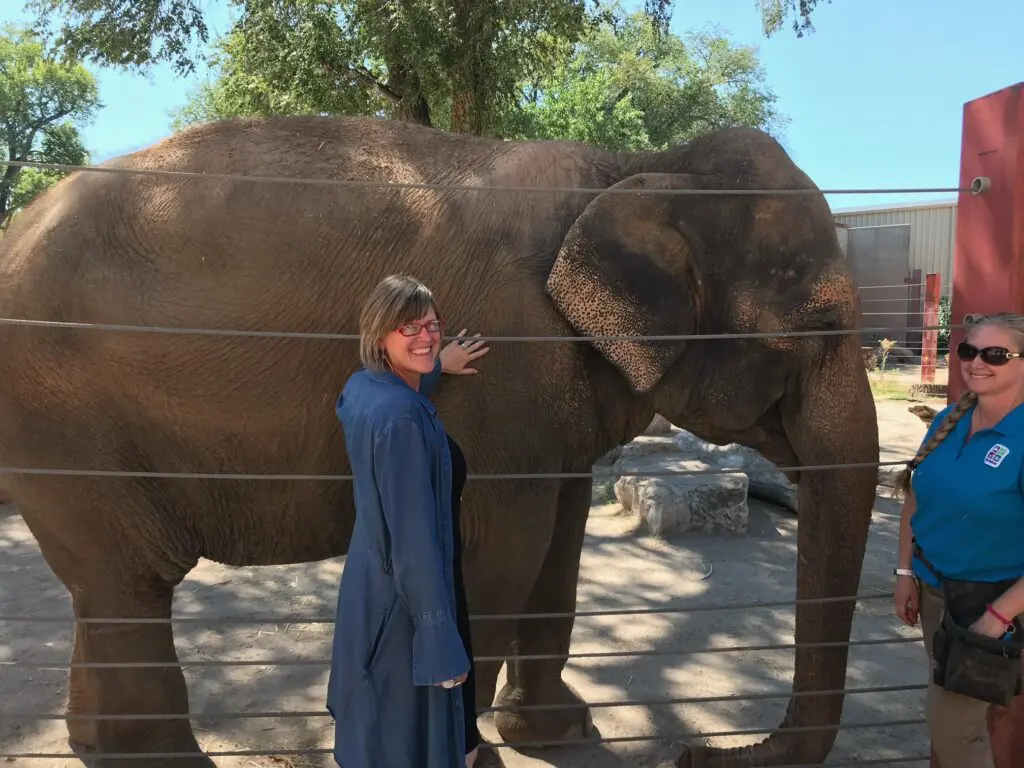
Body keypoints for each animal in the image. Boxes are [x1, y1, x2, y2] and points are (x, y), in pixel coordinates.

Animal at [0, 115, 880, 768]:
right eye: (821, 326)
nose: (696, 753)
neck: (637, 168)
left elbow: (559, 543)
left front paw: (562, 732)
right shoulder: (510, 370)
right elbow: (503, 549)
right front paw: (481, 752)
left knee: (108, 590)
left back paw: (99, 747)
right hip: (64, 420)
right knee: (131, 581)